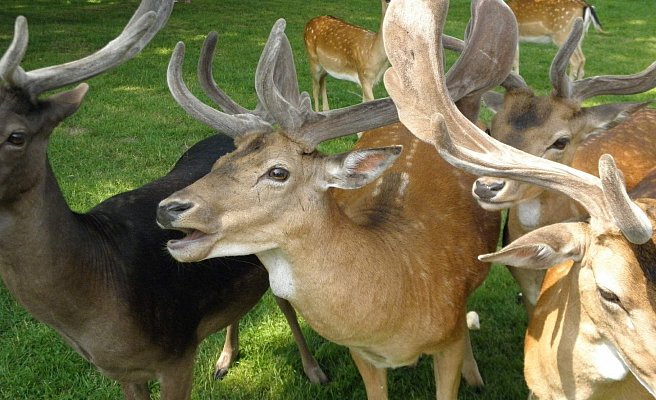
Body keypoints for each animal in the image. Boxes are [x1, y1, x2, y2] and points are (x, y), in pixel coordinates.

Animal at [0, 1, 326, 398]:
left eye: (16, 136)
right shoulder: (125, 372)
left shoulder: (178, 352)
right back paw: (224, 360)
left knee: (284, 303)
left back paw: (313, 369)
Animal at [155, 0, 516, 396]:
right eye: (220, 162)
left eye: (278, 172)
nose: (168, 208)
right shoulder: (360, 352)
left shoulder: (447, 340)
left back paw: (475, 374)